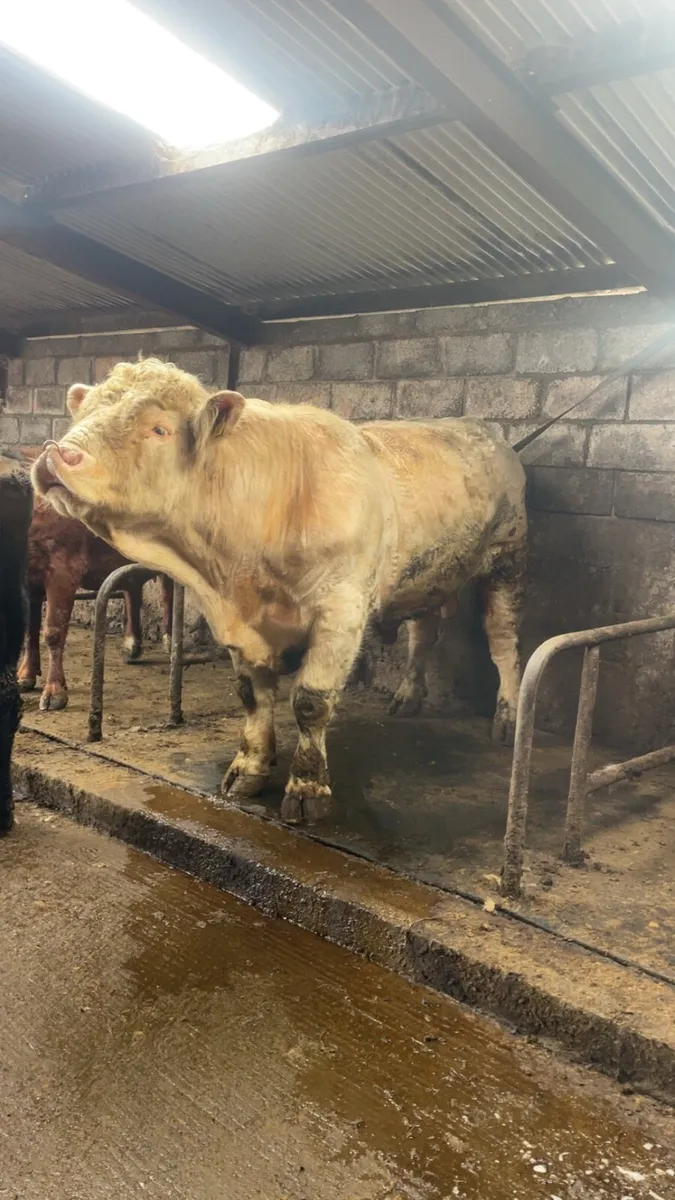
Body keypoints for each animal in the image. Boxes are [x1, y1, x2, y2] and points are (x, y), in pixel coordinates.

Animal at [17, 490, 175, 712]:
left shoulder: (63, 568)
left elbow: (53, 632)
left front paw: (54, 694)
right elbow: (30, 630)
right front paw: (25, 677)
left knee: (168, 587)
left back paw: (169, 640)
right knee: (132, 586)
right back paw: (131, 646)